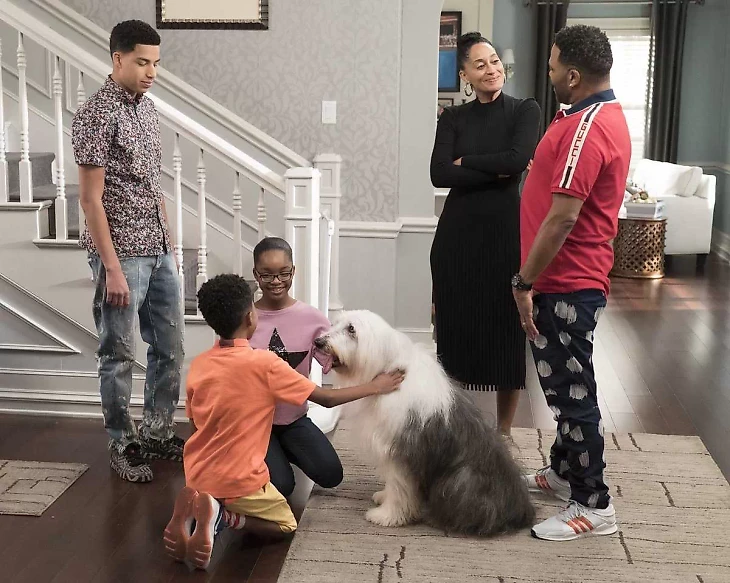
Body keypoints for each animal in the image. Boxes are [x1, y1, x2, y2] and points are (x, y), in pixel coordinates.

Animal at [315, 309, 535, 536]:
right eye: (335, 323)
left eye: (351, 329)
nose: (319, 342)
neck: (386, 366)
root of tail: (520, 510)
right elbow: (392, 484)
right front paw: (383, 497)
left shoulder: (400, 452)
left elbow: (399, 487)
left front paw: (386, 516)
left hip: (460, 480)